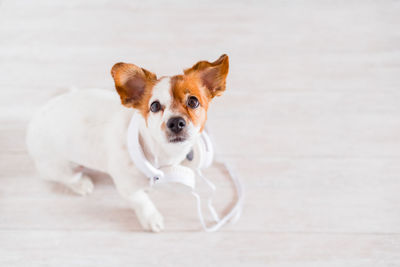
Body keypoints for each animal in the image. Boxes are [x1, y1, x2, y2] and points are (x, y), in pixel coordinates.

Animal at [25, 54, 228, 232]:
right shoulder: (126, 187)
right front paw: (151, 217)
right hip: (58, 167)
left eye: (193, 101)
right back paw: (81, 184)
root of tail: (36, 118)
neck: (159, 153)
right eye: (154, 106)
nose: (176, 122)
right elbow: (141, 201)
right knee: (68, 177)